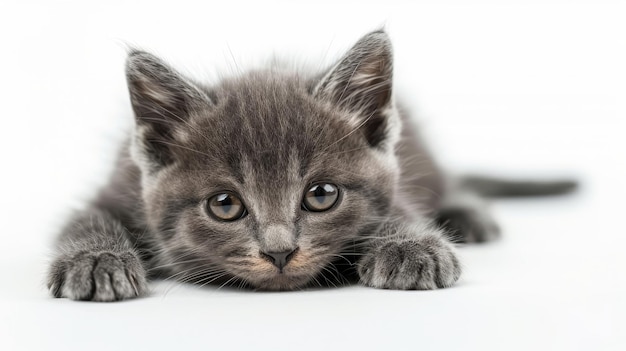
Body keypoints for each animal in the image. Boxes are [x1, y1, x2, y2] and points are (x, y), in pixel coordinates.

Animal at [46, 30, 572, 302]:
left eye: (321, 195)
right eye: (224, 205)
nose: (279, 252)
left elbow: (401, 208)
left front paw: (409, 246)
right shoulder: (119, 185)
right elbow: (85, 220)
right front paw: (96, 259)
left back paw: (467, 212)